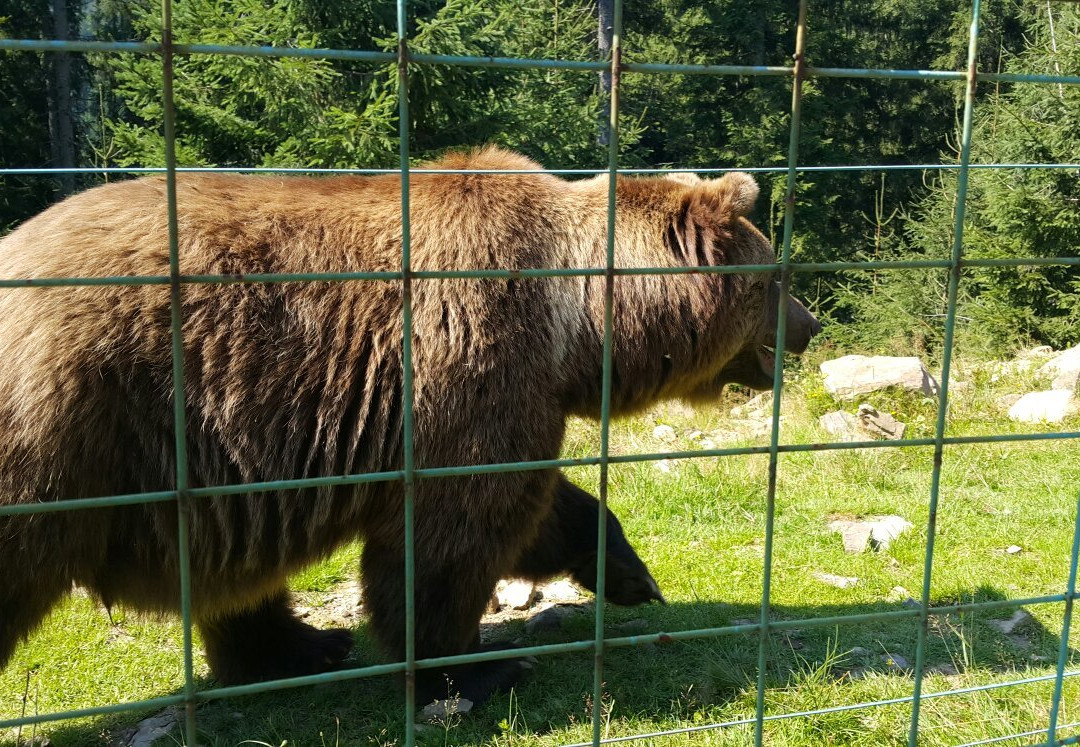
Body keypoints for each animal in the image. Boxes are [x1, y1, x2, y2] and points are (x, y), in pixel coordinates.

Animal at [0, 144, 816, 708]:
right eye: (776, 277)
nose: (809, 326)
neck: (580, 323)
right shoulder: (472, 364)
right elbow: (455, 537)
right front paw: (477, 669)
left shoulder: (513, 399)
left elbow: (539, 506)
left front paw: (630, 573)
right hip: (64, 428)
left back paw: (305, 647)